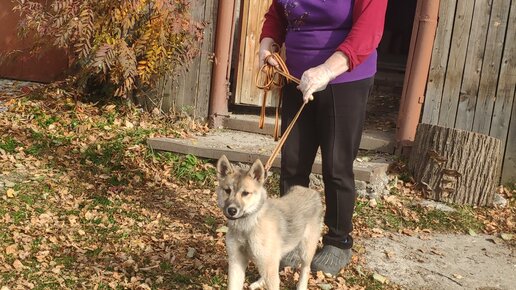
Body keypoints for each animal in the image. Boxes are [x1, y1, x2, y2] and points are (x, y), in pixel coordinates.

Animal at [215, 156, 320, 290]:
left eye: (245, 193)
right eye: (227, 190)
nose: (232, 210)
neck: (247, 227)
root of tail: (312, 191)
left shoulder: (269, 266)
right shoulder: (236, 261)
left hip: (306, 251)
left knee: (306, 269)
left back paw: (301, 286)